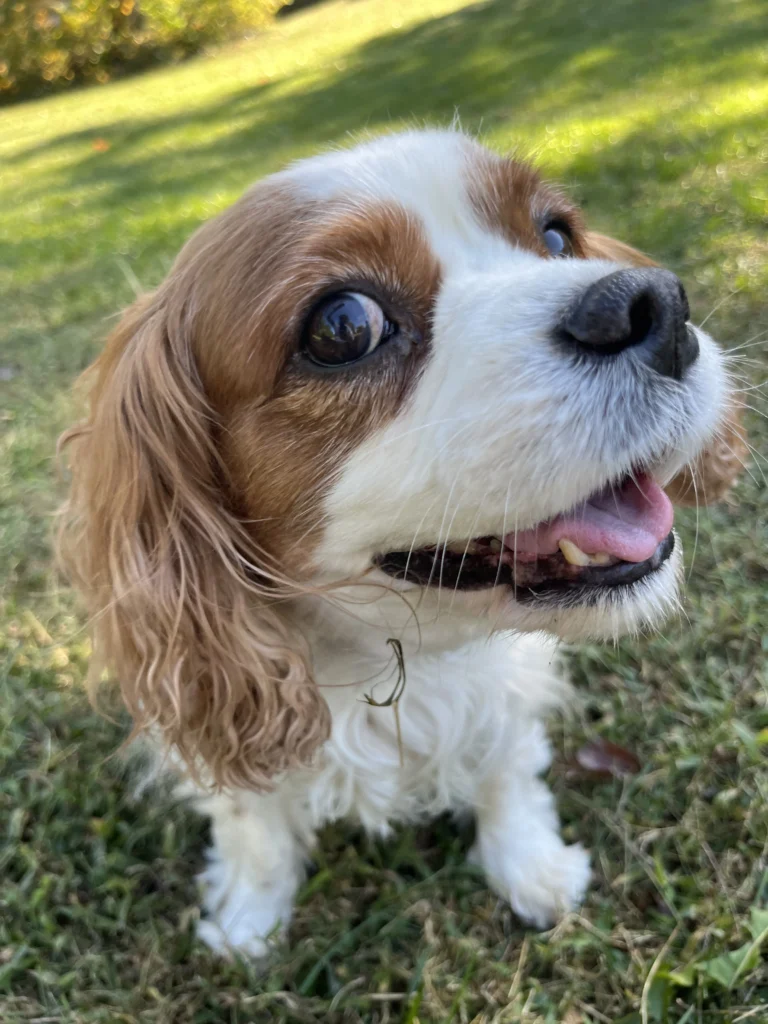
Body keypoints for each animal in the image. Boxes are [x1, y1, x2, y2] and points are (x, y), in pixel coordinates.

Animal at [57, 130, 737, 958]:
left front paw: (529, 864)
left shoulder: (508, 700)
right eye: (343, 325)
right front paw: (250, 914)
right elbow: (254, 822)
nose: (655, 303)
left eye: (553, 236)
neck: (395, 650)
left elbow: (506, 770)